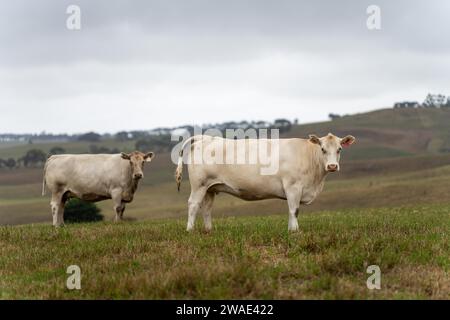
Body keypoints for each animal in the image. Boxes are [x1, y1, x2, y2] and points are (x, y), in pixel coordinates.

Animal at [176, 133, 356, 232]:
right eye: (323, 149)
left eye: (339, 149)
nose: (332, 166)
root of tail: (206, 138)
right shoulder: (293, 187)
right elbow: (294, 210)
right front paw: (295, 231)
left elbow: (292, 211)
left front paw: (290, 230)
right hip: (199, 185)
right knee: (193, 205)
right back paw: (190, 230)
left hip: (210, 188)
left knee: (206, 208)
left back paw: (209, 230)